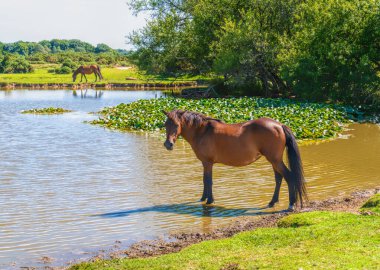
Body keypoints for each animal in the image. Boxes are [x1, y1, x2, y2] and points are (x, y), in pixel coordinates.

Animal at [162, 109, 308, 211]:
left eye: (176, 124)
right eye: (165, 125)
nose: (168, 144)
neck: (202, 131)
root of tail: (279, 125)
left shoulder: (208, 163)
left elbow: (208, 181)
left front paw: (210, 201)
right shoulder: (205, 163)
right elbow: (205, 181)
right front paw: (203, 198)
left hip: (275, 160)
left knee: (289, 177)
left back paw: (291, 204)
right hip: (274, 161)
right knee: (279, 179)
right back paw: (272, 202)